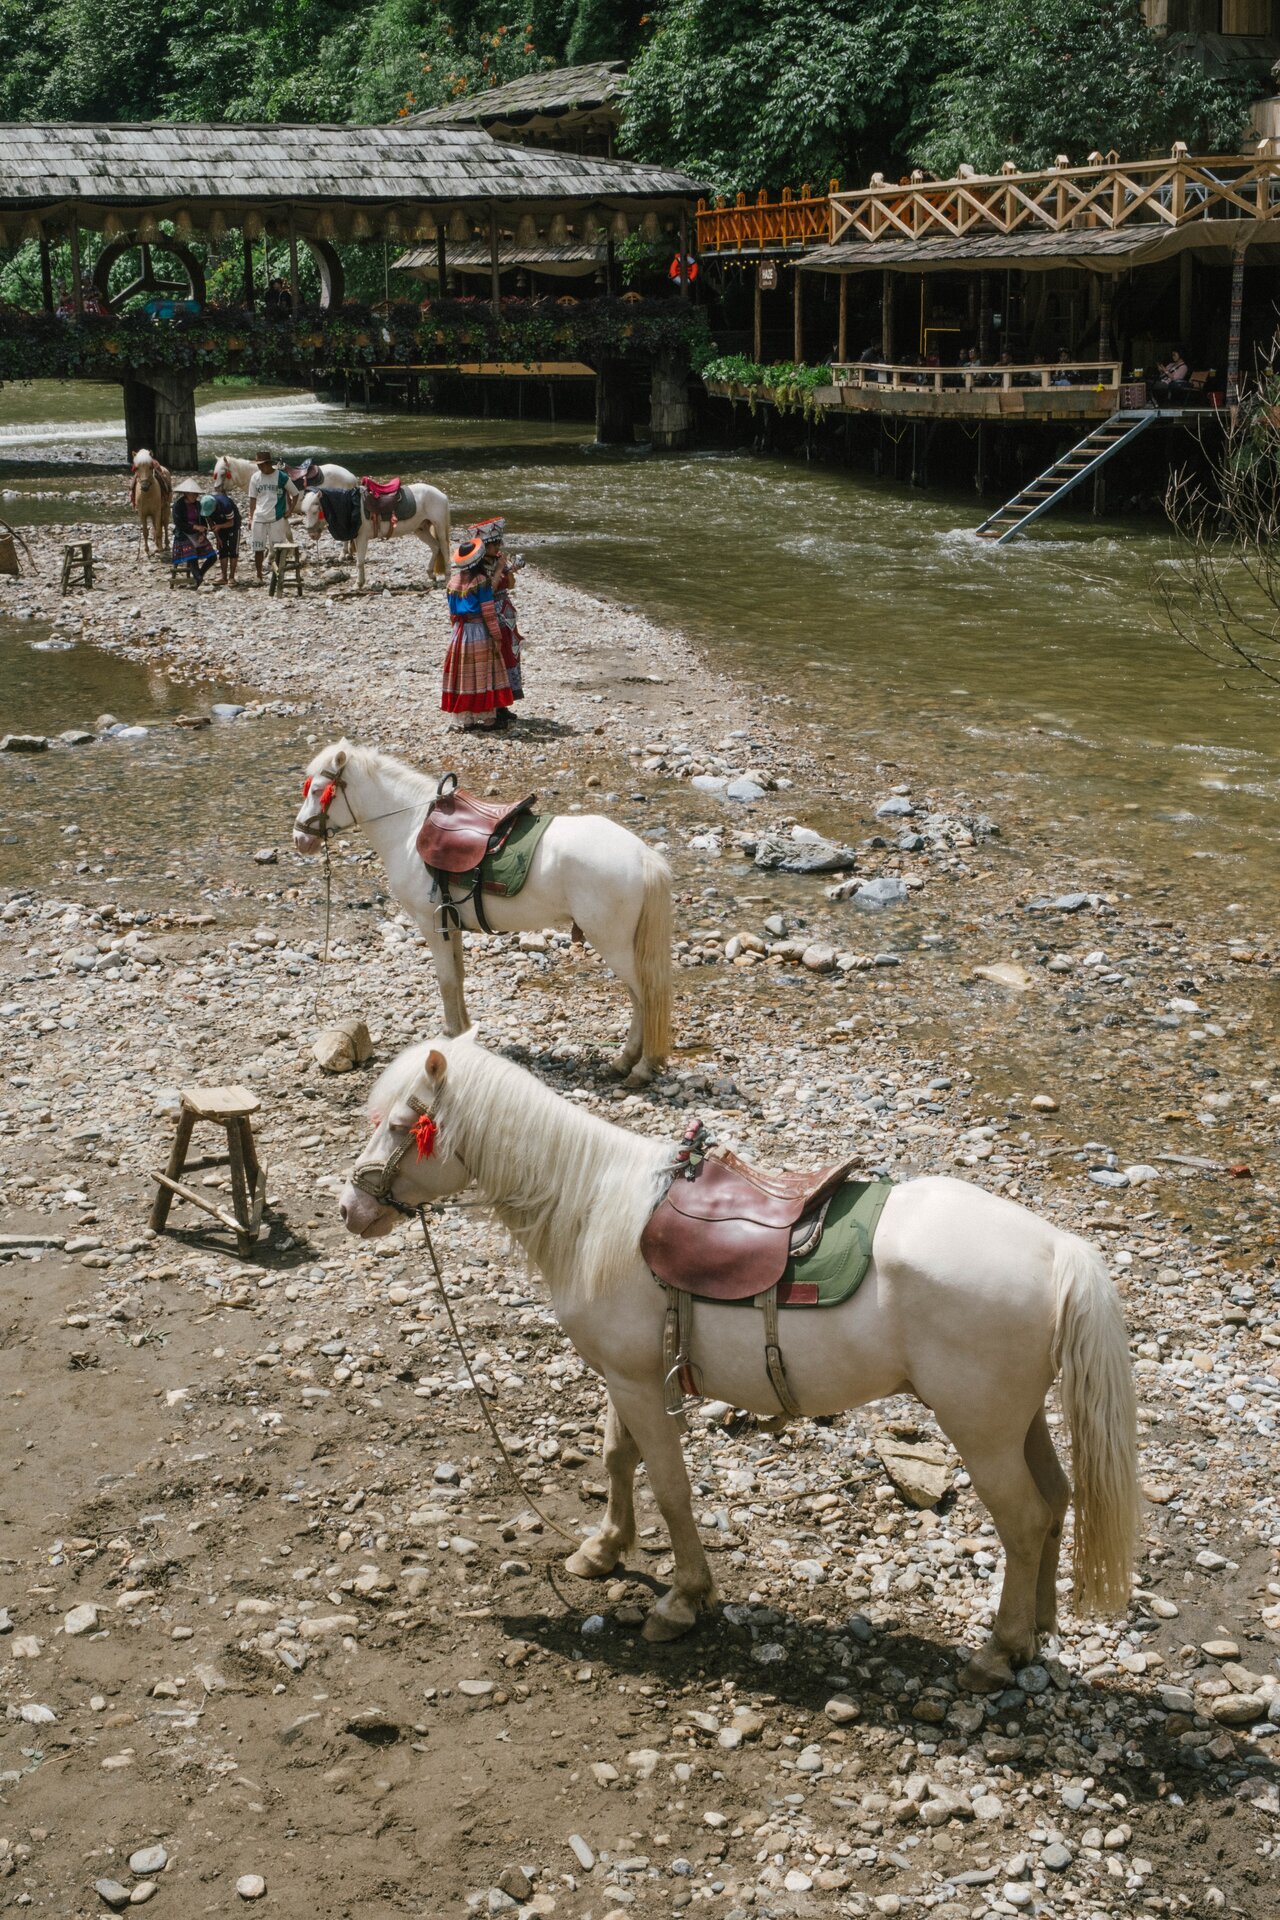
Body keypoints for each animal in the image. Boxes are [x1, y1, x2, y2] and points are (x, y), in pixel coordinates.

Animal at [292, 742, 673, 1084]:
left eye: (320, 791)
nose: (300, 839)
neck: (410, 829)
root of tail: (643, 856)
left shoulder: (431, 924)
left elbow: (446, 981)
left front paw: (449, 1035)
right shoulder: (451, 925)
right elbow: (458, 978)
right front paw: (463, 1032)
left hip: (614, 944)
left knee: (645, 997)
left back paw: (638, 1067)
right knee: (639, 999)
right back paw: (624, 1063)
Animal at [299, 481, 450, 589]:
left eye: (315, 510)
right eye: (304, 511)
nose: (312, 534)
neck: (352, 506)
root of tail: (442, 495)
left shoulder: (362, 538)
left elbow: (360, 562)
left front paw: (358, 584)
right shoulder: (357, 537)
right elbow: (359, 561)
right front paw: (360, 582)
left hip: (439, 527)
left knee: (444, 549)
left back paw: (448, 578)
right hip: (421, 529)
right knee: (435, 547)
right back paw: (431, 574)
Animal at [338, 1033, 1139, 1690]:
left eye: (400, 1124)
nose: (350, 1210)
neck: (594, 1207)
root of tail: (1057, 1250)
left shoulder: (640, 1383)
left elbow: (670, 1487)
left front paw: (683, 1600)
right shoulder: (625, 1377)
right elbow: (616, 1456)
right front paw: (602, 1550)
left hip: (979, 1429)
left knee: (1025, 1519)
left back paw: (996, 1653)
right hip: (1015, 1421)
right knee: (1057, 1498)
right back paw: (1035, 1632)